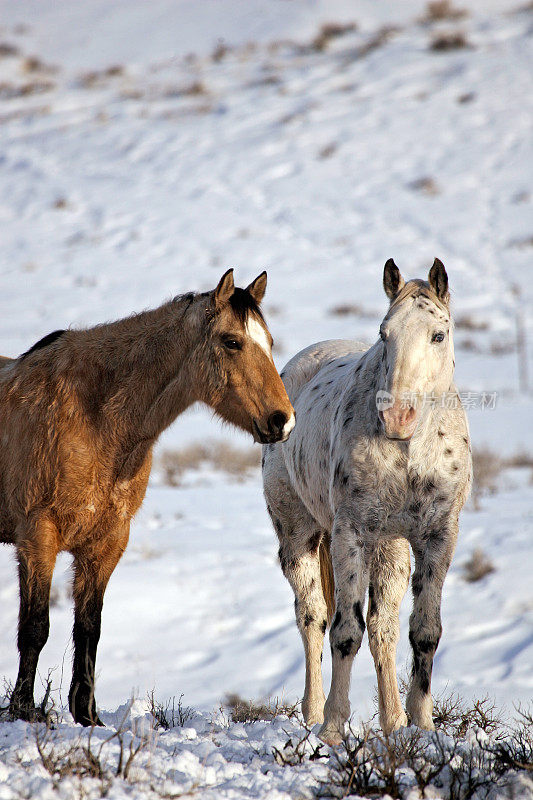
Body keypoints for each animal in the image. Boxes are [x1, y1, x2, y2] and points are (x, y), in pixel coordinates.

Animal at [0, 268, 294, 724]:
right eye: (232, 341)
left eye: (271, 342)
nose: (283, 421)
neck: (96, 418)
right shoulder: (37, 536)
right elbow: (35, 627)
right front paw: (24, 711)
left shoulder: (107, 542)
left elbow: (89, 627)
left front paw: (88, 715)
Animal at [262, 260, 470, 744]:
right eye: (384, 333)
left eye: (438, 335)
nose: (397, 415)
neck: (411, 453)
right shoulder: (350, 535)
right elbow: (344, 632)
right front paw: (334, 727)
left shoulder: (438, 538)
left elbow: (424, 631)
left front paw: (421, 724)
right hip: (299, 537)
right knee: (313, 617)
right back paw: (313, 713)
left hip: (391, 549)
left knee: (383, 629)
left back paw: (393, 721)